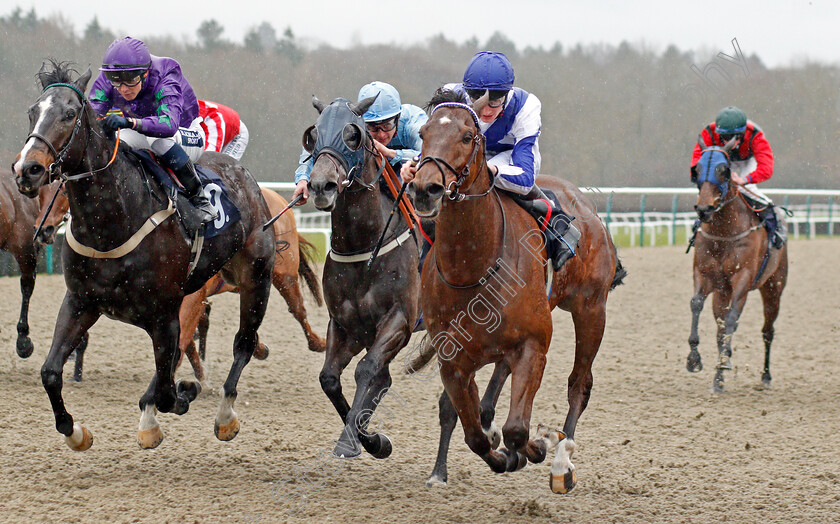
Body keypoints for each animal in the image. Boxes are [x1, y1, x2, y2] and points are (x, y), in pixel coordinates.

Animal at [11, 61, 274, 450]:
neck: (112, 222)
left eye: (70, 114)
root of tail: (244, 176)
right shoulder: (80, 302)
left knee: (243, 342)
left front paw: (183, 394)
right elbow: (50, 372)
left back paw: (225, 416)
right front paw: (75, 432)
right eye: (33, 111)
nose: (27, 170)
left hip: (256, 277)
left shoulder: (163, 314)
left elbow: (167, 389)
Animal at [306, 96, 420, 460]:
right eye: (313, 135)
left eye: (353, 135)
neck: (364, 246)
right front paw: (370, 440)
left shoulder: (399, 319)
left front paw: (352, 439)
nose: (321, 185)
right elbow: (329, 378)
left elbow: (366, 370)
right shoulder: (346, 324)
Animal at [410, 92, 628, 494]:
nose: (424, 188)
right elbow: (474, 434)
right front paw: (498, 454)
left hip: (591, 309)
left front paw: (537, 446)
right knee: (496, 385)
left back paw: (561, 462)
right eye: (422, 132)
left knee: (580, 384)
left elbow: (517, 429)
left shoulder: (533, 345)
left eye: (467, 136)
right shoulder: (453, 361)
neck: (472, 266)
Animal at [688, 139, 788, 392]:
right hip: (722, 293)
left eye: (724, 170)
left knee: (767, 331)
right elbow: (696, 304)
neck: (724, 232)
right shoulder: (704, 274)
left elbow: (733, 319)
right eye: (696, 170)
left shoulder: (742, 278)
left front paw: (723, 365)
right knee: (720, 327)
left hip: (773, 288)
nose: (703, 210)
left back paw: (765, 376)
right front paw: (694, 359)